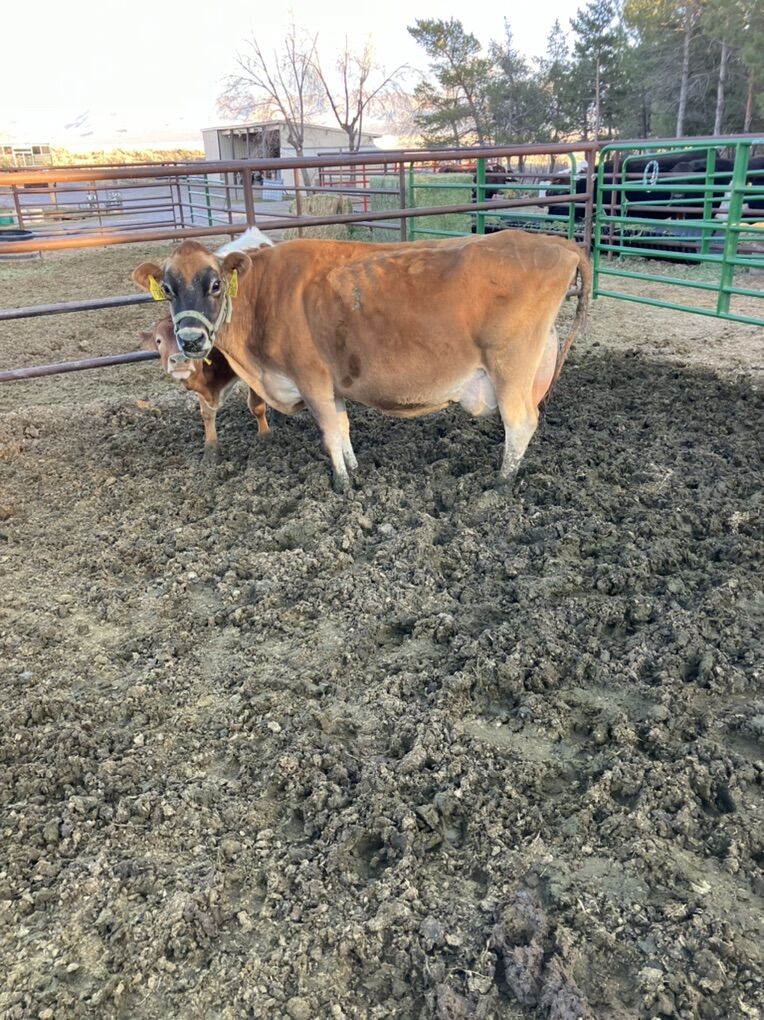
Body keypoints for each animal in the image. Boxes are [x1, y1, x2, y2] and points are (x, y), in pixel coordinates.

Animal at [132, 230, 590, 490]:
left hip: (511, 367)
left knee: (520, 423)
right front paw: (354, 469)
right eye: (168, 289)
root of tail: (558, 243)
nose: (190, 341)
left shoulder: (312, 378)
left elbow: (329, 433)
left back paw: (501, 484)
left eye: (214, 284)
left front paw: (342, 484)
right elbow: (343, 427)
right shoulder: (331, 385)